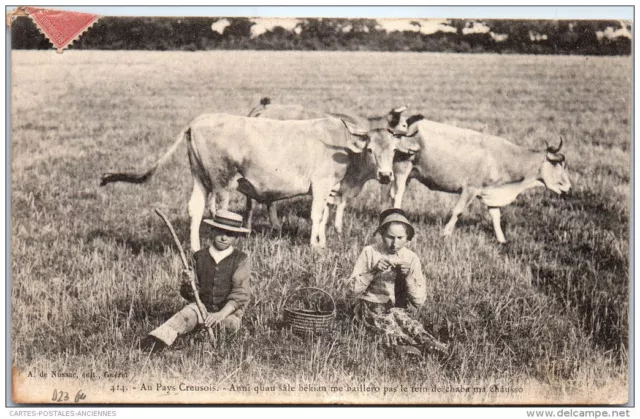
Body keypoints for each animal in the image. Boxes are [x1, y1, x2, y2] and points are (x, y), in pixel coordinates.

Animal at [100, 113, 400, 251]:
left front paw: (322, 242)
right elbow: (317, 215)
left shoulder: (329, 189)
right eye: (371, 149)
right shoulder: (321, 184)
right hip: (221, 181)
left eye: (394, 150)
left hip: (199, 177)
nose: (387, 176)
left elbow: (325, 216)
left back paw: (195, 248)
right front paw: (315, 246)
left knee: (195, 210)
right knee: (216, 212)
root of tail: (199, 120)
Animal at [392, 117, 572, 243]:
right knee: (398, 196)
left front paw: (502, 240)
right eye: (556, 163)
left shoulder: (491, 192)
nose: (568, 186)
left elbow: (496, 217)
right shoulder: (470, 188)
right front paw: (445, 233)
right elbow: (458, 211)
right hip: (402, 168)